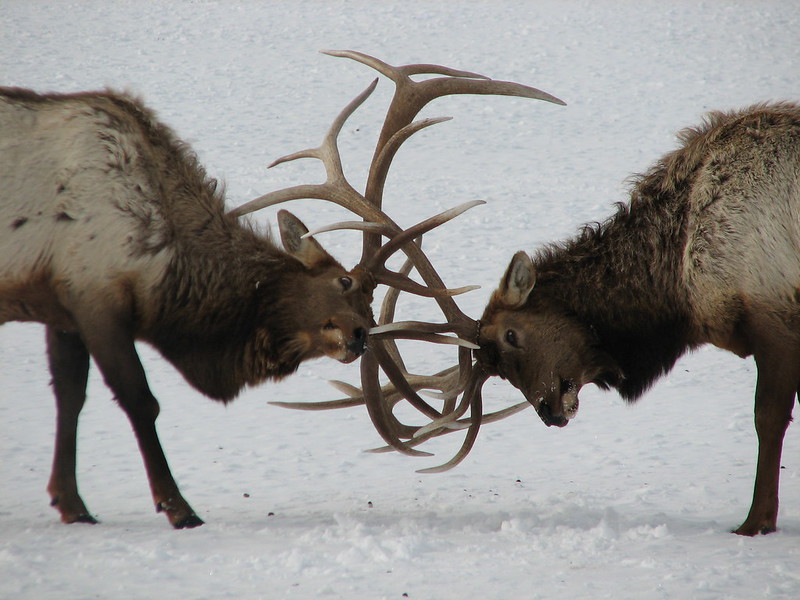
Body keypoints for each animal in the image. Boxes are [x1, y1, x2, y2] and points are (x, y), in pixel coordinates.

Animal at [0, 51, 564, 528]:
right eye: (343, 280)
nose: (362, 335)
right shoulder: (93, 291)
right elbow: (139, 400)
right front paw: (178, 508)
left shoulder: (62, 303)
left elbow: (69, 395)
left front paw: (71, 503)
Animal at [322, 101, 798, 536]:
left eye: (512, 335)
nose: (548, 411)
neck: (677, 277)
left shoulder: (773, 314)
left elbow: (767, 419)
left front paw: (755, 522)